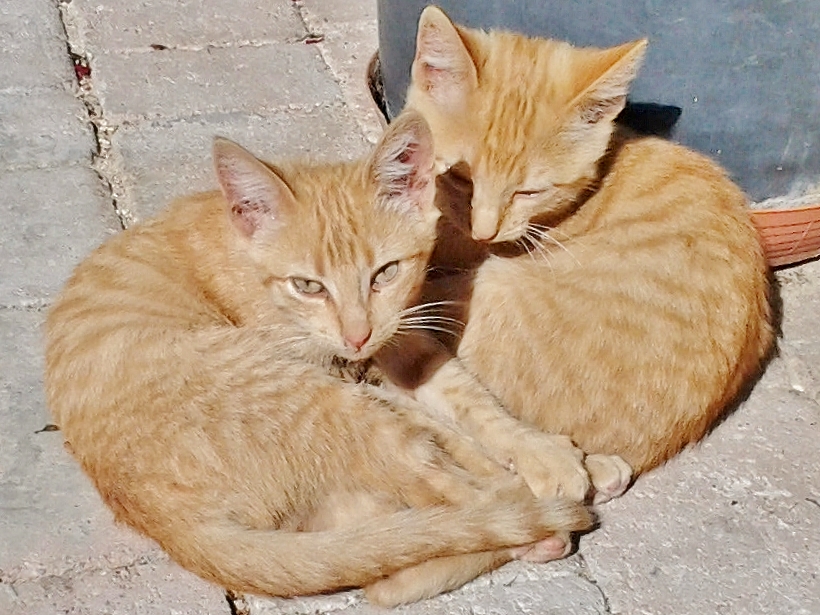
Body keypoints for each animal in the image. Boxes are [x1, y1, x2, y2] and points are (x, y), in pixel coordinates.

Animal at [43, 112, 588, 608]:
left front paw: (536, 448)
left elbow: (468, 396)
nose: (356, 335)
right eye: (308, 285)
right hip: (308, 395)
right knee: (438, 494)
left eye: (385, 272)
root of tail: (167, 522)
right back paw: (538, 525)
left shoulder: (398, 338)